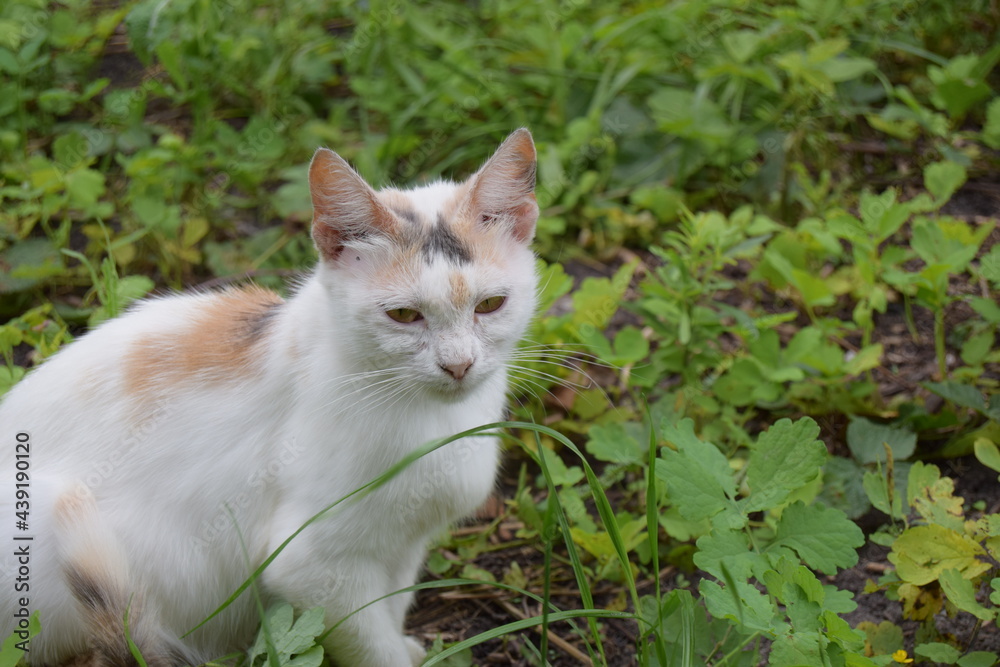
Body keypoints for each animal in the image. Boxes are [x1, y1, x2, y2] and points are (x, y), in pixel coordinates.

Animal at [0, 128, 540, 664]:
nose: (459, 364)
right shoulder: (313, 565)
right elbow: (371, 644)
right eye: (404, 315)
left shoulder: (404, 546)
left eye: (490, 305)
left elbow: (393, 603)